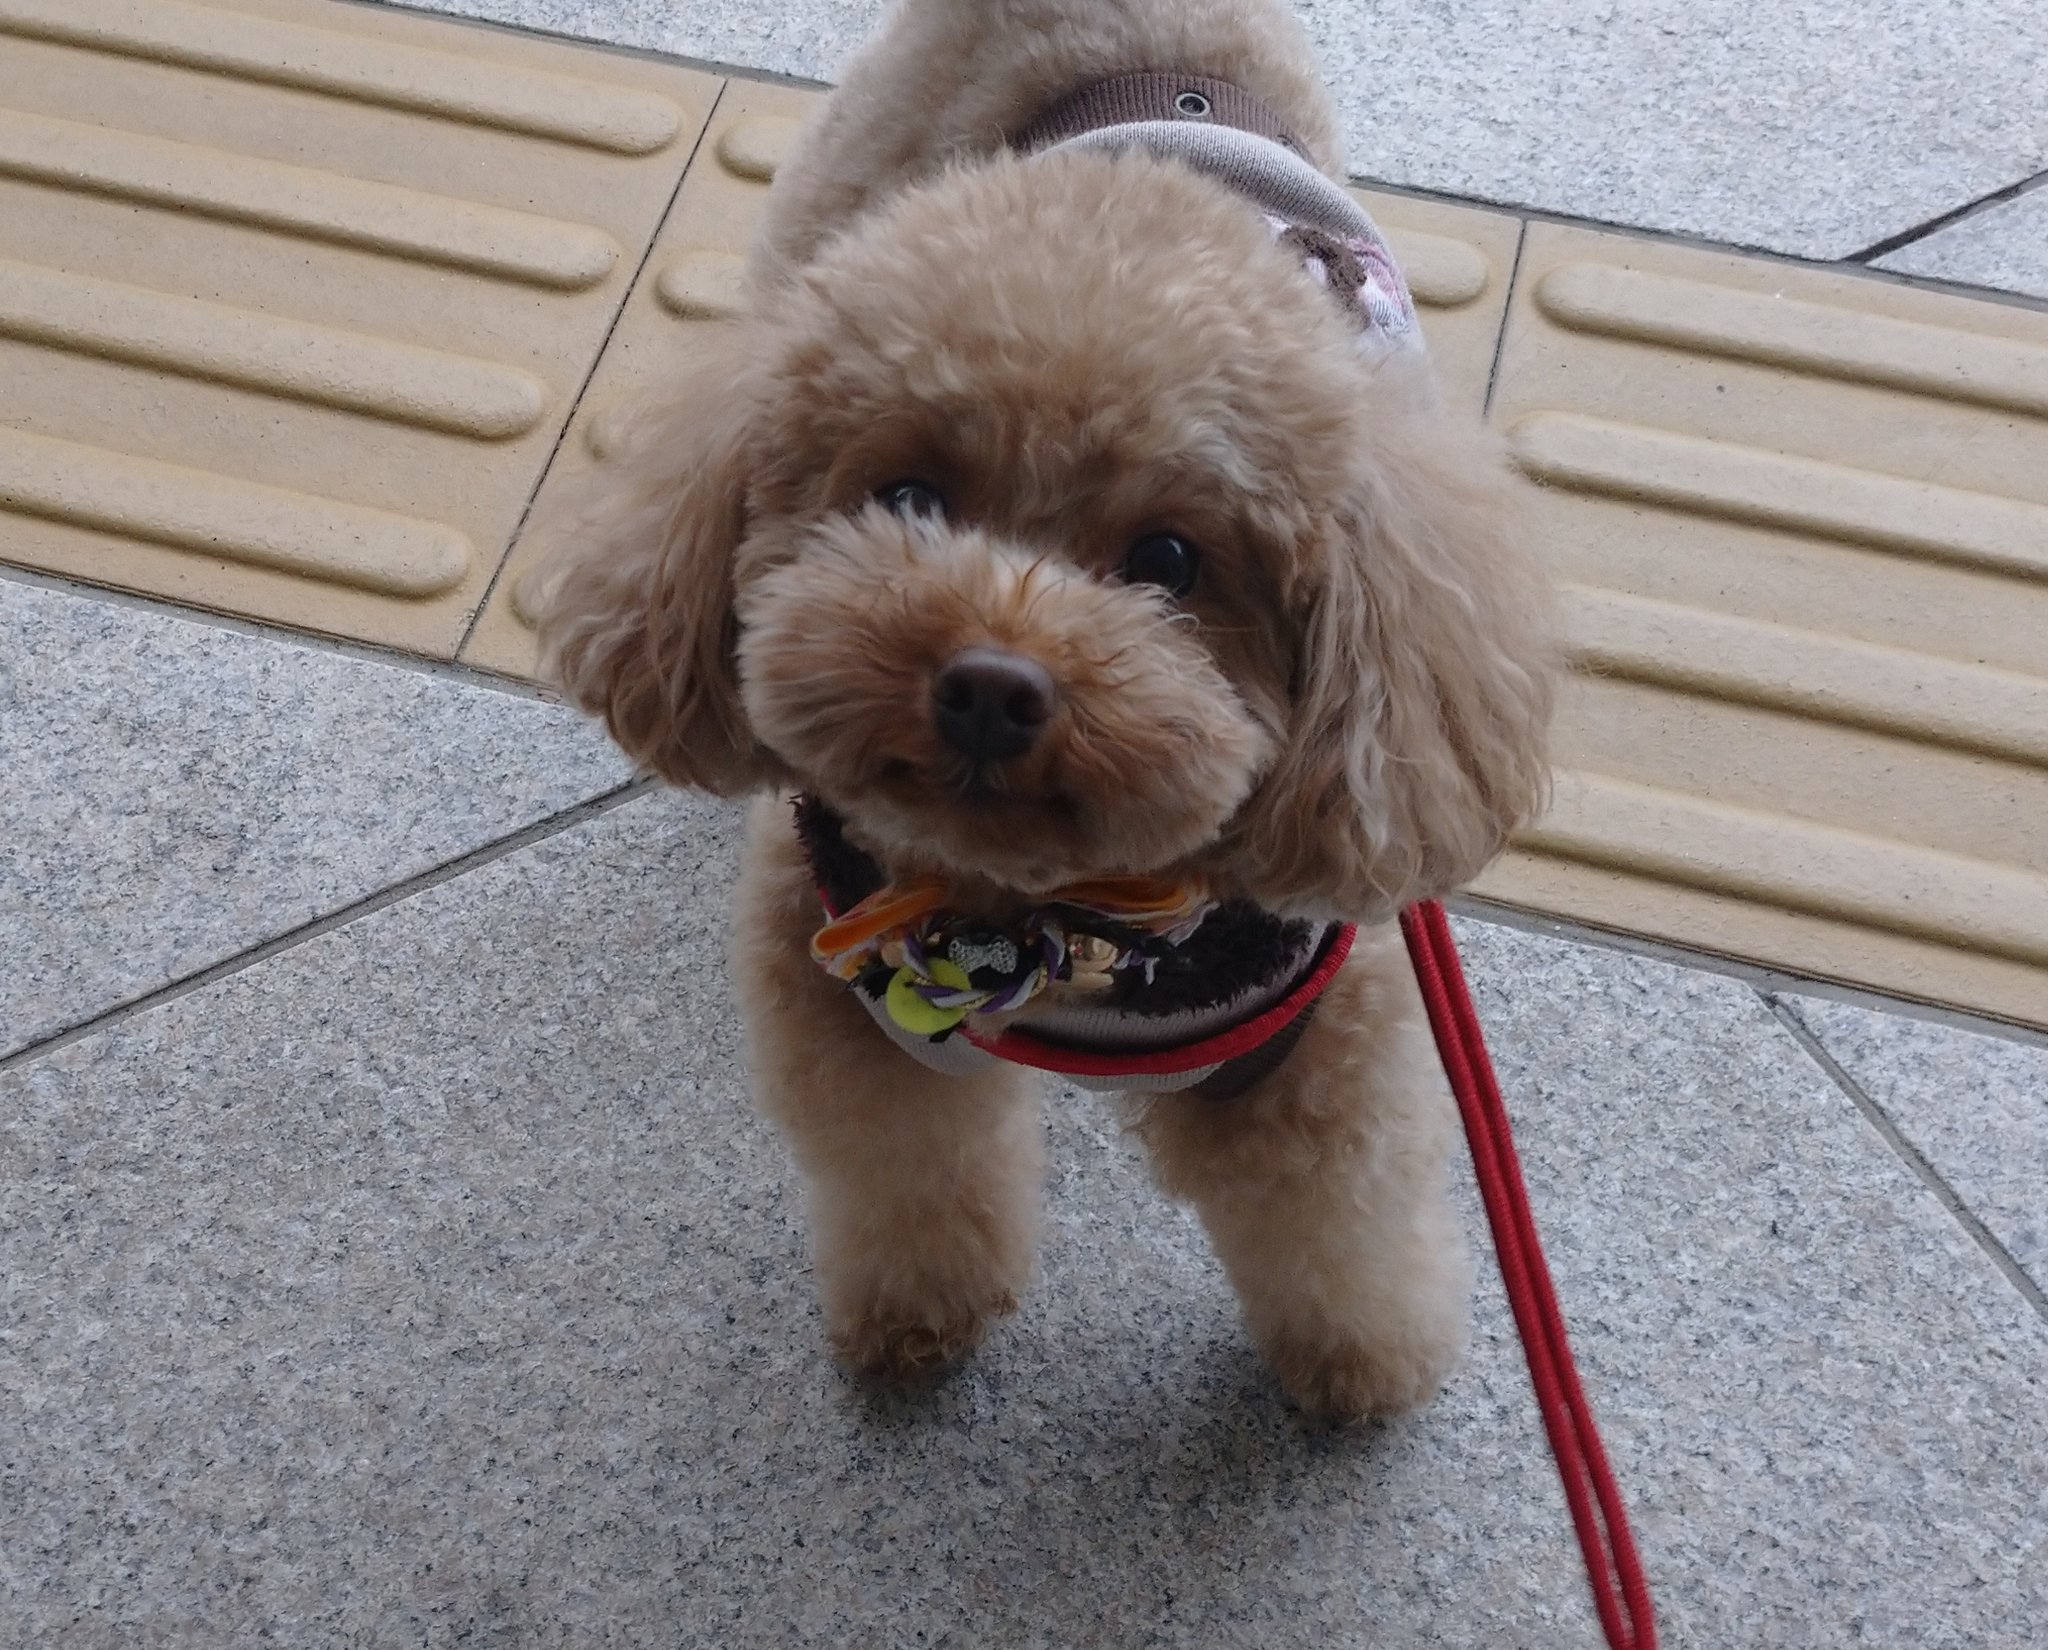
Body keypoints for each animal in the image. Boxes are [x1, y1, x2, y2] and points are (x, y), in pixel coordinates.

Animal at [536, 0, 1554, 1420]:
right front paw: (917, 1320)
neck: (1042, 918)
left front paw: (1361, 1364)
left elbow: (1335, 1228)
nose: (989, 684)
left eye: (1169, 561)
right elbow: (912, 1185)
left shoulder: (1308, 1057)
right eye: (908, 497)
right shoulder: (855, 1019)